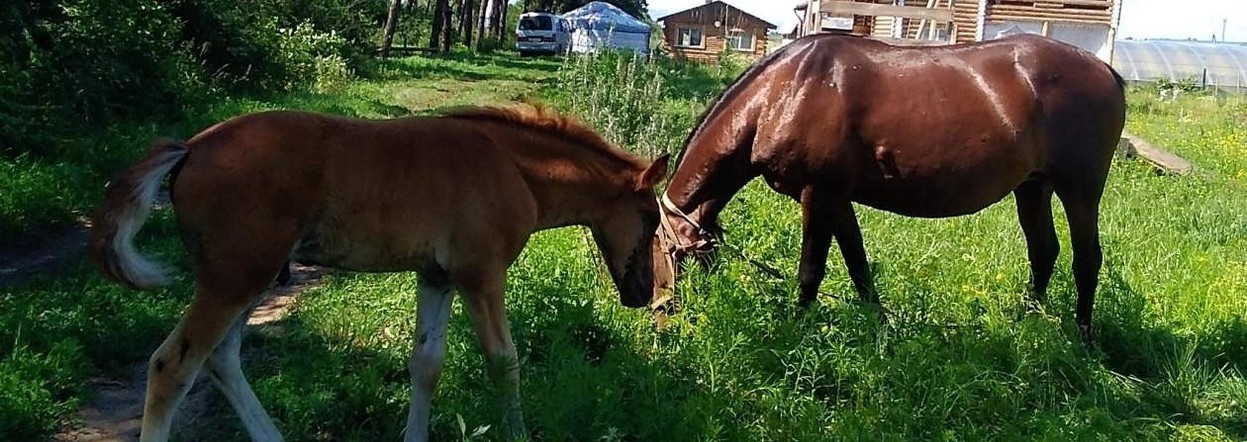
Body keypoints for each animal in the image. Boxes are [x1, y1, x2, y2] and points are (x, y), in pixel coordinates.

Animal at [90, 101, 673, 439]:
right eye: (650, 219)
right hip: (235, 277)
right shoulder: (481, 275)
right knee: (173, 366)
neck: (513, 167)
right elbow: (504, 363)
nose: (642, 294)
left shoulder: (436, 276)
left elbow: (426, 364)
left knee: (221, 360)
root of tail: (191, 147)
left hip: (253, 276)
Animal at [653, 33, 1132, 344]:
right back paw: (1022, 325)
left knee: (1086, 259)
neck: (784, 91)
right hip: (1032, 188)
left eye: (663, 252)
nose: (659, 318)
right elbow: (858, 266)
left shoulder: (818, 194)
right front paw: (882, 330)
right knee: (1043, 250)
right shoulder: (837, 198)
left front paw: (794, 331)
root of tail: (1108, 72)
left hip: (1080, 189)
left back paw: (1082, 340)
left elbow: (811, 272)